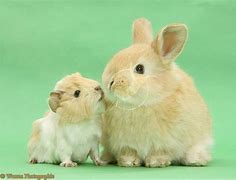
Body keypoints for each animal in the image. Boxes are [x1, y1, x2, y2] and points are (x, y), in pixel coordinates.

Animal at [100, 18, 213, 167]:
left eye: (140, 68)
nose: (110, 83)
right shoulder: (123, 143)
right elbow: (129, 151)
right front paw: (128, 161)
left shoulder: (165, 142)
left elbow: (160, 152)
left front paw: (156, 162)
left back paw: (196, 160)